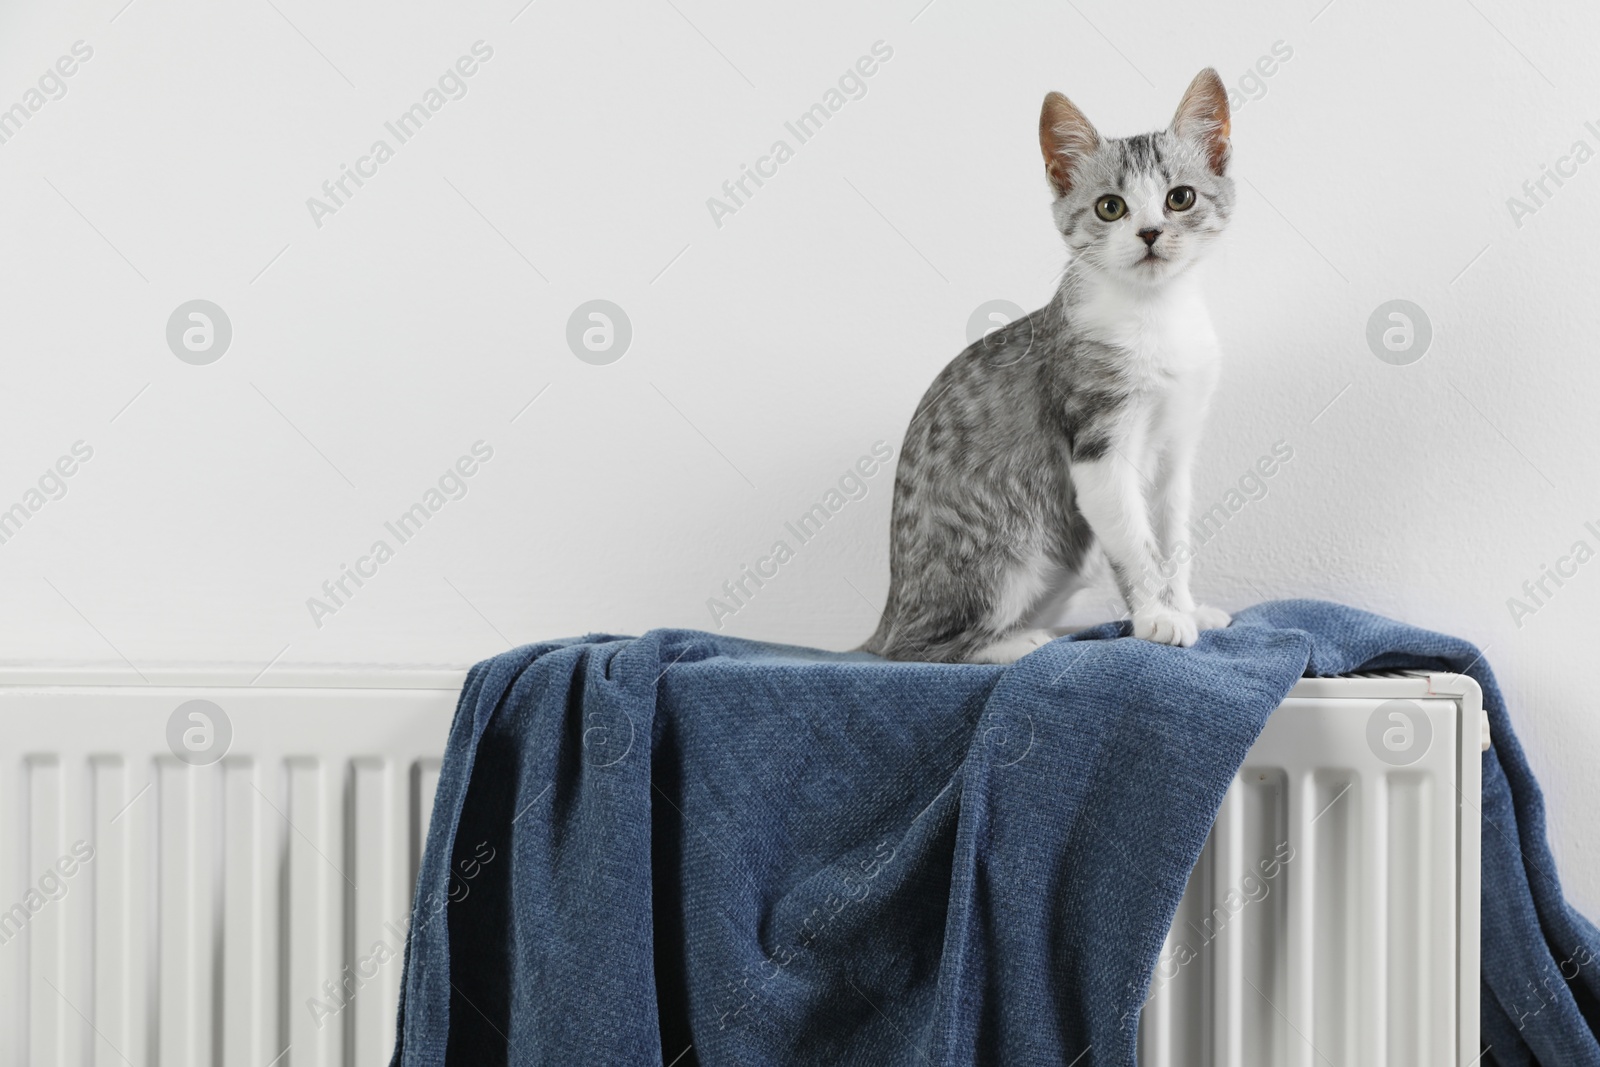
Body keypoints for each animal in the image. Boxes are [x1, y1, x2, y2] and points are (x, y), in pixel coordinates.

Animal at [864, 68, 1235, 659]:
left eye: (1180, 198)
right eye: (1111, 207)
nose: (1150, 232)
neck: (1153, 314)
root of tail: (887, 615)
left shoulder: (1177, 447)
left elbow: (1171, 538)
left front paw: (1186, 606)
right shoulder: (1097, 444)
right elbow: (1135, 543)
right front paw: (1157, 617)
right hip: (1013, 544)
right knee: (918, 649)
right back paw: (1017, 644)